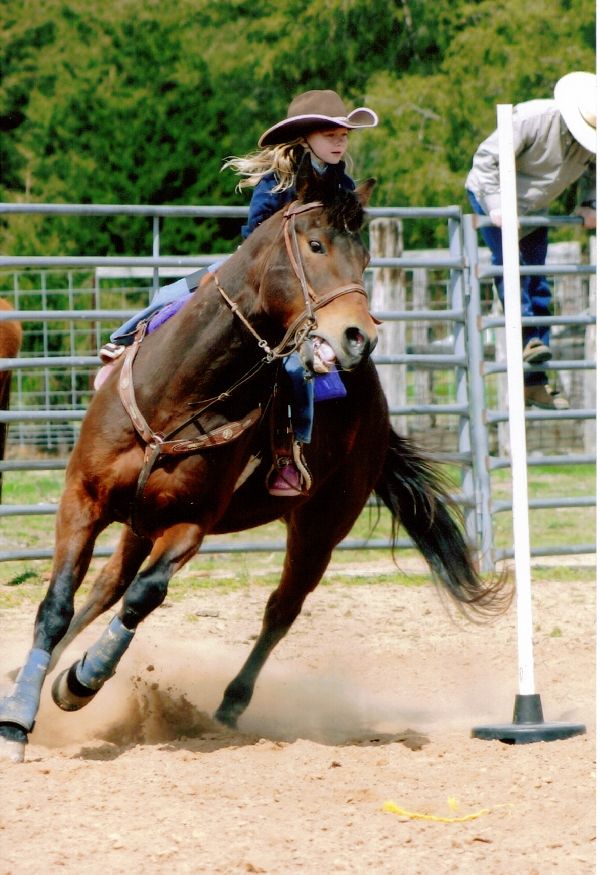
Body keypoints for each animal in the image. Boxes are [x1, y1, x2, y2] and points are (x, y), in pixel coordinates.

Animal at [0, 161, 508, 764]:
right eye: (315, 244)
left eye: (365, 259)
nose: (358, 336)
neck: (178, 393)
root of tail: (379, 415)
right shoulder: (82, 498)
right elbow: (59, 603)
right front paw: (18, 718)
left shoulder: (190, 525)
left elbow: (146, 596)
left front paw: (80, 682)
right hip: (141, 521)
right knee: (107, 586)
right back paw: (25, 675)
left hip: (320, 527)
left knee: (279, 610)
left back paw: (229, 704)